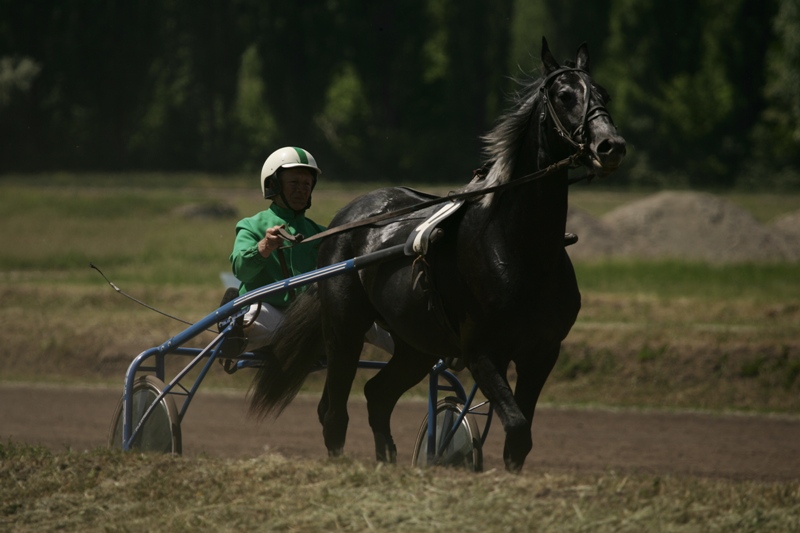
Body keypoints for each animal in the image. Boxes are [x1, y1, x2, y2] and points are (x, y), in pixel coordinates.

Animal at [250, 38, 624, 470]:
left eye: (604, 94)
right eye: (564, 95)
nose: (610, 146)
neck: (523, 250)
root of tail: (345, 219)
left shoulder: (542, 352)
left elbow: (520, 440)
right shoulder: (482, 351)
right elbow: (515, 424)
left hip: (414, 341)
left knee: (378, 396)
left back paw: (387, 461)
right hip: (345, 328)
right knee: (333, 412)